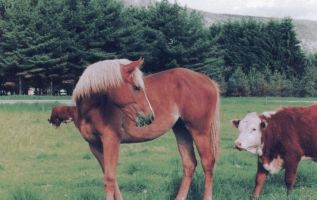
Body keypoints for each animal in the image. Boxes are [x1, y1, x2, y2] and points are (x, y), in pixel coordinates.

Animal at [71, 57, 220, 200]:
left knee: (207, 163)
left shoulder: (111, 141)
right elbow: (111, 178)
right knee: (189, 164)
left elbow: (109, 179)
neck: (95, 108)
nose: (150, 116)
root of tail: (207, 80)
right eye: (136, 87)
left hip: (199, 131)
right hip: (182, 129)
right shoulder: (95, 146)